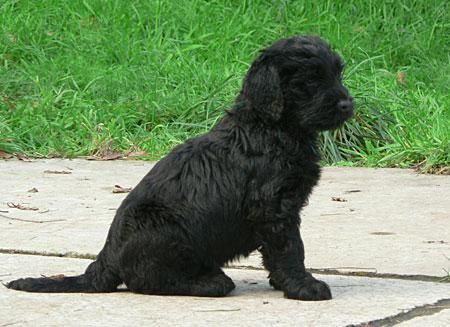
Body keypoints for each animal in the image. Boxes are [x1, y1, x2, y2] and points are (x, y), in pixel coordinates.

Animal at [5, 36, 354, 302]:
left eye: (338, 73)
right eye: (310, 80)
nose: (347, 104)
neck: (270, 125)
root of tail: (106, 260)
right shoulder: (274, 207)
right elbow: (290, 249)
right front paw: (304, 286)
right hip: (164, 227)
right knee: (147, 280)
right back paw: (210, 282)